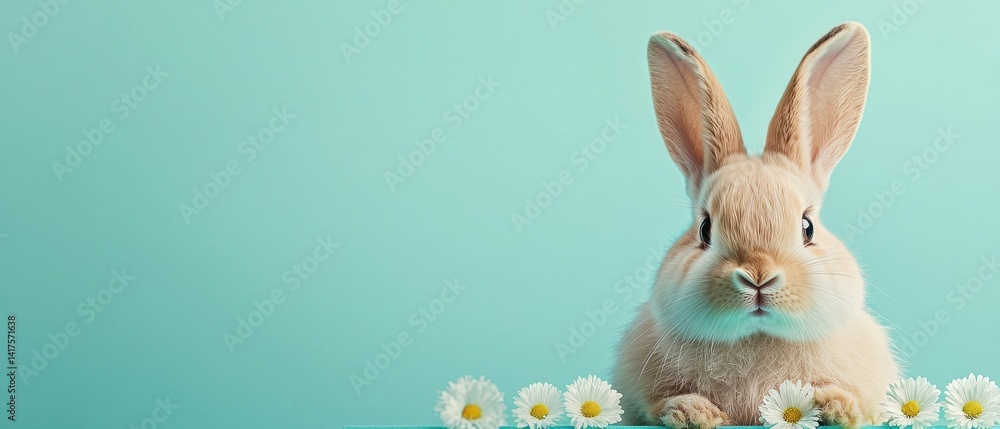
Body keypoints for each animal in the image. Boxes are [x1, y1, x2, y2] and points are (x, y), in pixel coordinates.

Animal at [612, 22, 899, 428]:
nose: (758, 276)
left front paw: (834, 407)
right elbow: (657, 404)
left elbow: (854, 400)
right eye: (704, 229)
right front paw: (692, 412)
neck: (755, 337)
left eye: (807, 227)